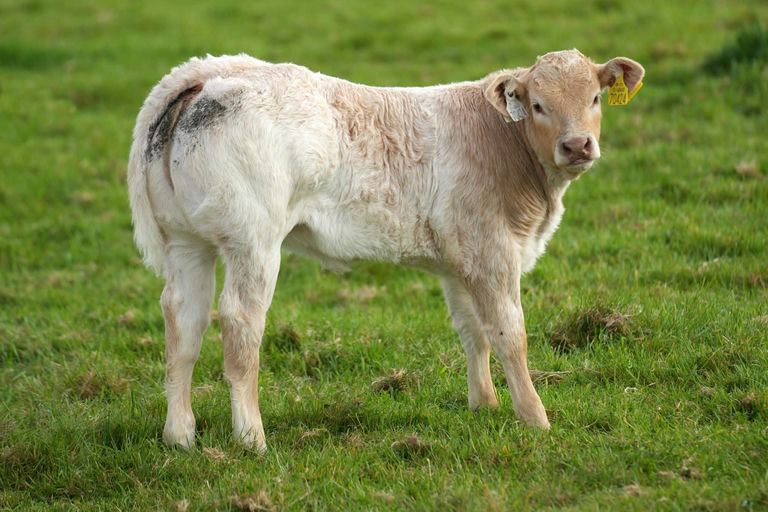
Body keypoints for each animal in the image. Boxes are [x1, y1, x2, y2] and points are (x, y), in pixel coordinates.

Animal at [127, 49, 644, 451]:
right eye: (537, 105)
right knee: (239, 323)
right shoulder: (491, 251)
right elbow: (508, 333)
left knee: (183, 321)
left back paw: (180, 435)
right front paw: (535, 419)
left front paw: (484, 405)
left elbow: (472, 332)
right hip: (253, 239)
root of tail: (207, 72)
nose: (577, 145)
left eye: (594, 98)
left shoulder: (459, 260)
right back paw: (252, 438)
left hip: (186, 240)